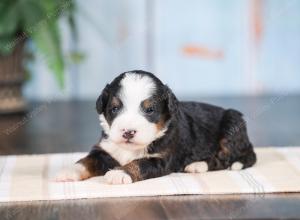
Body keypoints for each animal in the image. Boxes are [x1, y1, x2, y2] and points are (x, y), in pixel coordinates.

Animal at [55, 70, 255, 184]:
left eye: (150, 110)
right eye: (114, 108)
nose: (128, 132)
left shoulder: (162, 158)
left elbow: (139, 163)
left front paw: (119, 173)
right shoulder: (105, 150)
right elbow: (87, 160)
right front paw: (69, 171)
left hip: (231, 125)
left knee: (223, 159)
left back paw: (197, 165)